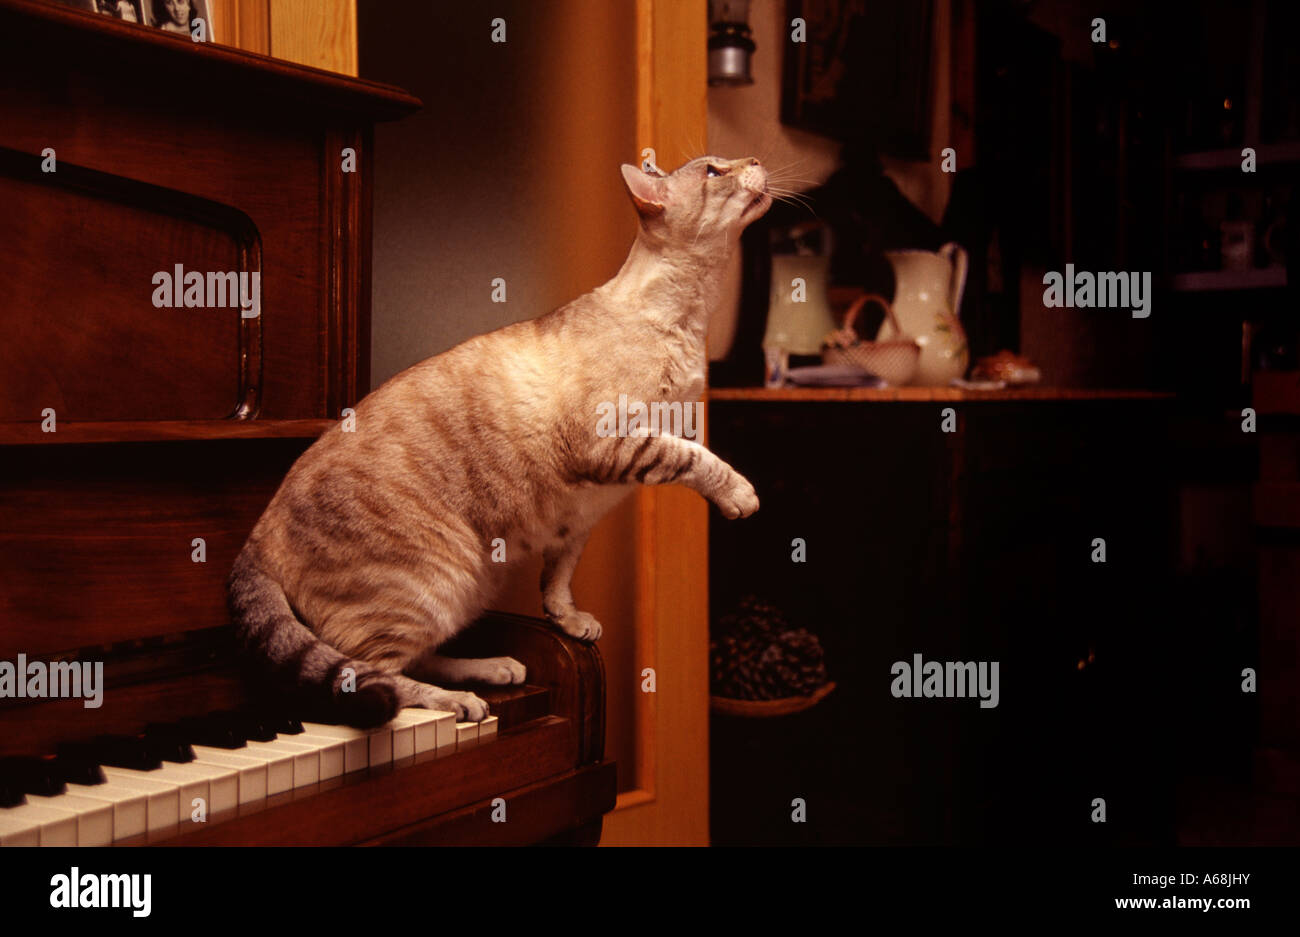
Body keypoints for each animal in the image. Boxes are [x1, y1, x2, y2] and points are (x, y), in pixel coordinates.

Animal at [228, 153, 764, 727]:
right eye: (713, 171)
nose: (755, 160)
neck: (692, 319)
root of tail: (254, 537)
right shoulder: (611, 444)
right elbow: (699, 459)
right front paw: (741, 496)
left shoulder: (576, 519)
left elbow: (559, 580)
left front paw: (570, 622)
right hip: (439, 577)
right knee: (377, 676)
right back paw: (460, 701)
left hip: (471, 584)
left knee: (415, 658)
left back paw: (494, 668)